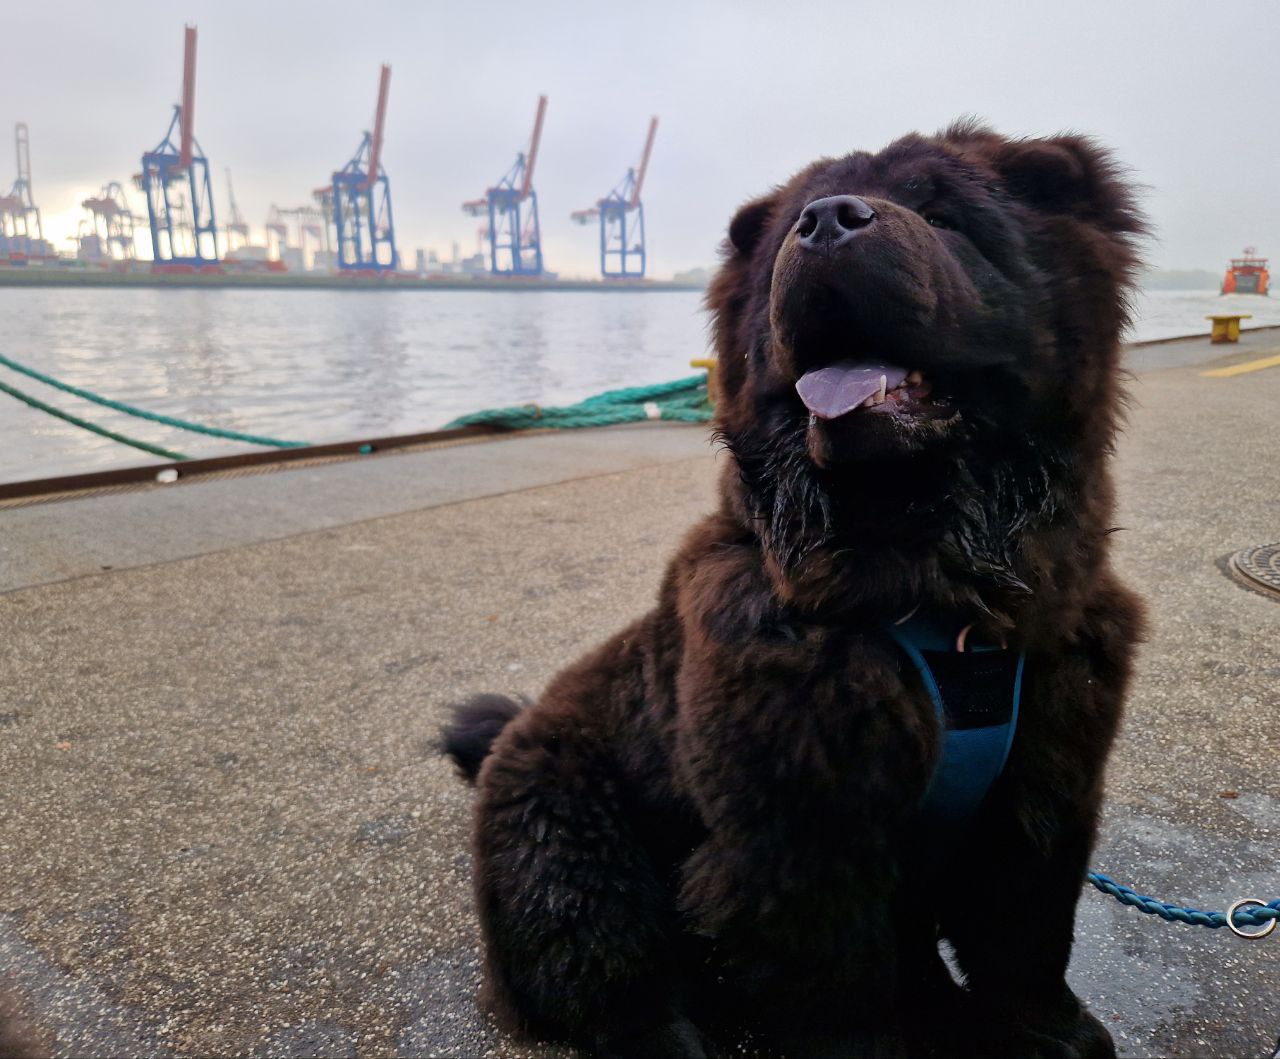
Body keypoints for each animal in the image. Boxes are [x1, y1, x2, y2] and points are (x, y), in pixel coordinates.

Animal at [445, 120, 1146, 1055]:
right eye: (791, 231)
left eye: (943, 216)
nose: (827, 221)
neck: (929, 595)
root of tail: (512, 734)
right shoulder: (801, 835)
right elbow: (844, 985)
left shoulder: (1045, 782)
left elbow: (1027, 932)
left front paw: (1055, 1032)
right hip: (574, 857)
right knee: (616, 983)